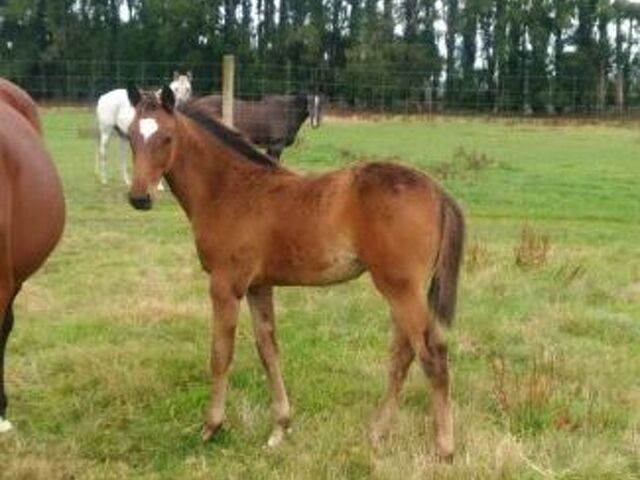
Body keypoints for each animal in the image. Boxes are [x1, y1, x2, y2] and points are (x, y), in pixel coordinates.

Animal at [191, 92, 322, 160]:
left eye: (321, 105)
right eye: (309, 104)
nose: (315, 123)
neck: (286, 112)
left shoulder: (271, 147)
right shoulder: (276, 146)